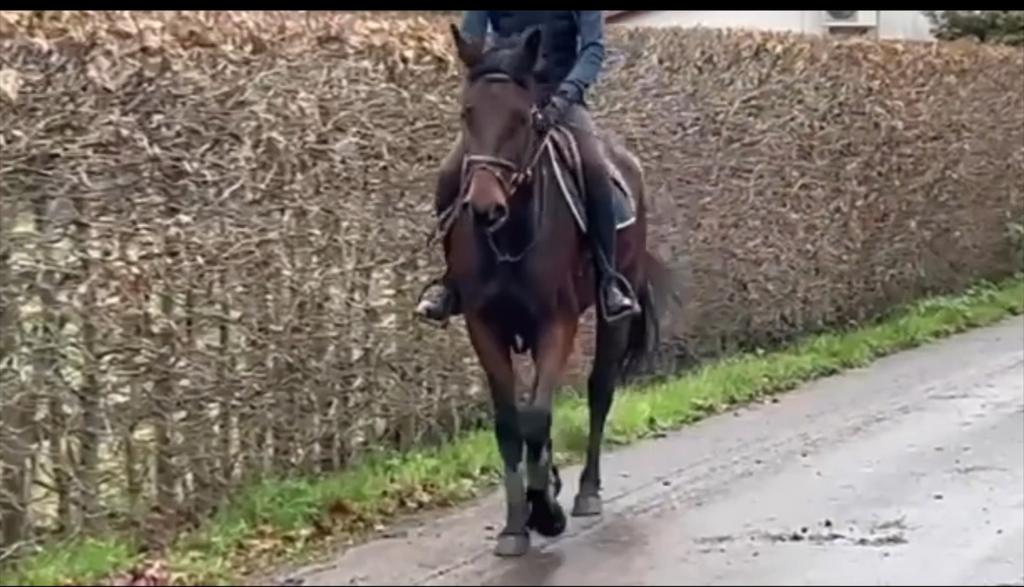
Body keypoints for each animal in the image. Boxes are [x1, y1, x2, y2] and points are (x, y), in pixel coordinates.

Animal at [438, 24, 673, 557]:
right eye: (467, 112)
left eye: (524, 117)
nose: (484, 208)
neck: (509, 236)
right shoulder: (484, 326)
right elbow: (511, 422)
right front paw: (514, 525)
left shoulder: (555, 323)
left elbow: (539, 416)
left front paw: (545, 511)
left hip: (613, 314)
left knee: (599, 392)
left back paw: (586, 492)